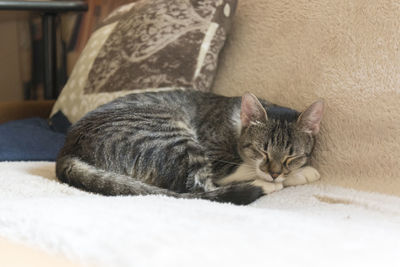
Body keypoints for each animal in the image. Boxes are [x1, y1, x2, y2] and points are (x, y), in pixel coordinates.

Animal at [56, 90, 324, 205]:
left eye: (292, 157)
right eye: (262, 151)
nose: (275, 172)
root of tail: (68, 150)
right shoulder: (216, 156)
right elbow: (241, 169)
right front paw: (301, 174)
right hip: (171, 135)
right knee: (198, 187)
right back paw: (264, 186)